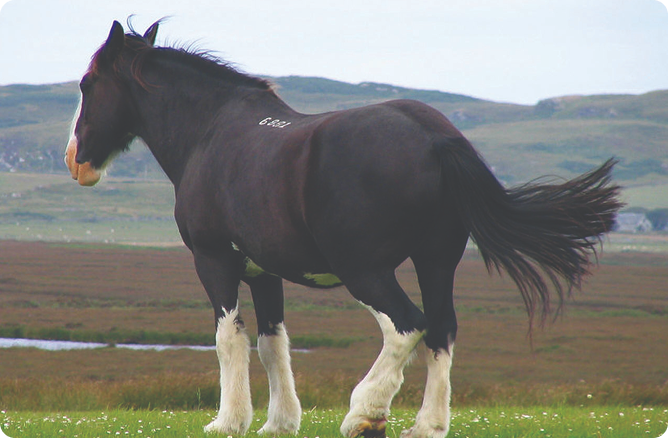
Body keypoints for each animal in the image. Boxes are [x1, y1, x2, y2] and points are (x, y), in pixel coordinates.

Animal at [65, 20, 622, 438]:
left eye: (87, 84)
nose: (76, 162)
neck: (210, 133)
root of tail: (435, 136)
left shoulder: (214, 260)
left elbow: (229, 338)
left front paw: (228, 421)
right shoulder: (264, 271)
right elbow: (271, 343)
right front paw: (279, 422)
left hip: (366, 270)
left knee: (407, 325)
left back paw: (365, 413)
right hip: (435, 260)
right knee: (441, 329)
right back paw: (426, 425)